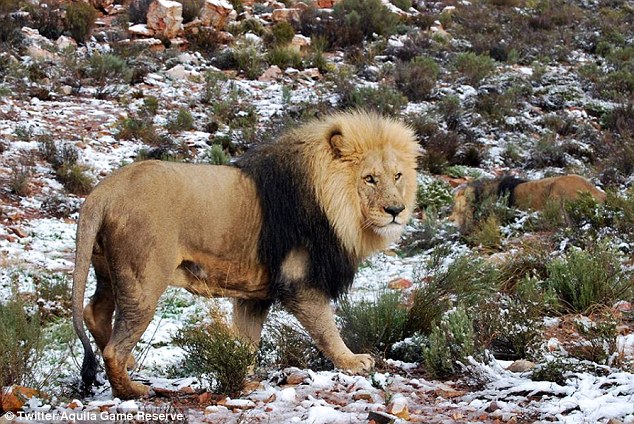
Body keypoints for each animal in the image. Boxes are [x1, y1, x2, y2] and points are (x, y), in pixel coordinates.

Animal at [71, 109, 420, 398]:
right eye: (369, 178)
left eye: (397, 176)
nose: (396, 210)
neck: (338, 207)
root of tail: (103, 192)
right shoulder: (300, 281)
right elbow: (326, 327)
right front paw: (352, 361)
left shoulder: (254, 296)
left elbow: (245, 340)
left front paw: (242, 372)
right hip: (143, 280)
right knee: (114, 348)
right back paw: (133, 391)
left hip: (109, 272)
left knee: (94, 313)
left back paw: (130, 368)